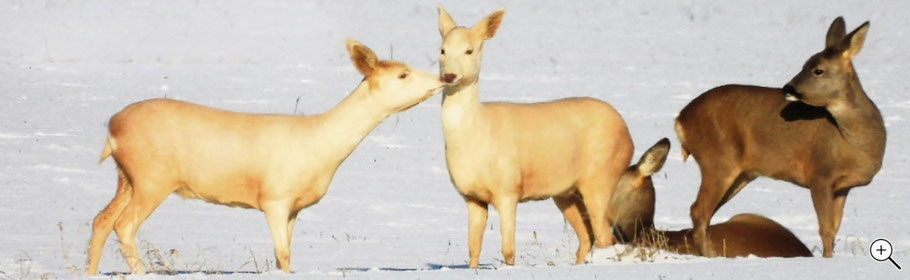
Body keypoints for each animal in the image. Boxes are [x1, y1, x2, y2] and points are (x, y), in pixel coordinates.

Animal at [87, 38, 450, 274]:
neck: (320, 146)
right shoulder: (275, 197)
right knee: (123, 225)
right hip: (153, 175)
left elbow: (284, 257)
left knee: (102, 220)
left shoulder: (295, 207)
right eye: (402, 74)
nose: (445, 77)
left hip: (127, 176)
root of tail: (112, 129)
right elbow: (283, 254)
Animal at [434, 4, 636, 266]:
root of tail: (628, 135)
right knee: (586, 238)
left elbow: (508, 250)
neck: (476, 134)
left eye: (469, 50)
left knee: (604, 237)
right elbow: (473, 248)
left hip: (602, 174)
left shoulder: (508, 188)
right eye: (442, 50)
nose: (448, 76)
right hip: (565, 192)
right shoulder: (471, 195)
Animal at [672, 17, 888, 258]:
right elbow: (825, 230)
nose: (787, 88)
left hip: (742, 173)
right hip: (718, 158)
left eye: (818, 70)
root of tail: (681, 119)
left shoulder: (843, 187)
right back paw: (711, 256)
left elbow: (834, 229)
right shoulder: (819, 175)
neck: (855, 144)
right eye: (804, 64)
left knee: (705, 213)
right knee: (699, 210)